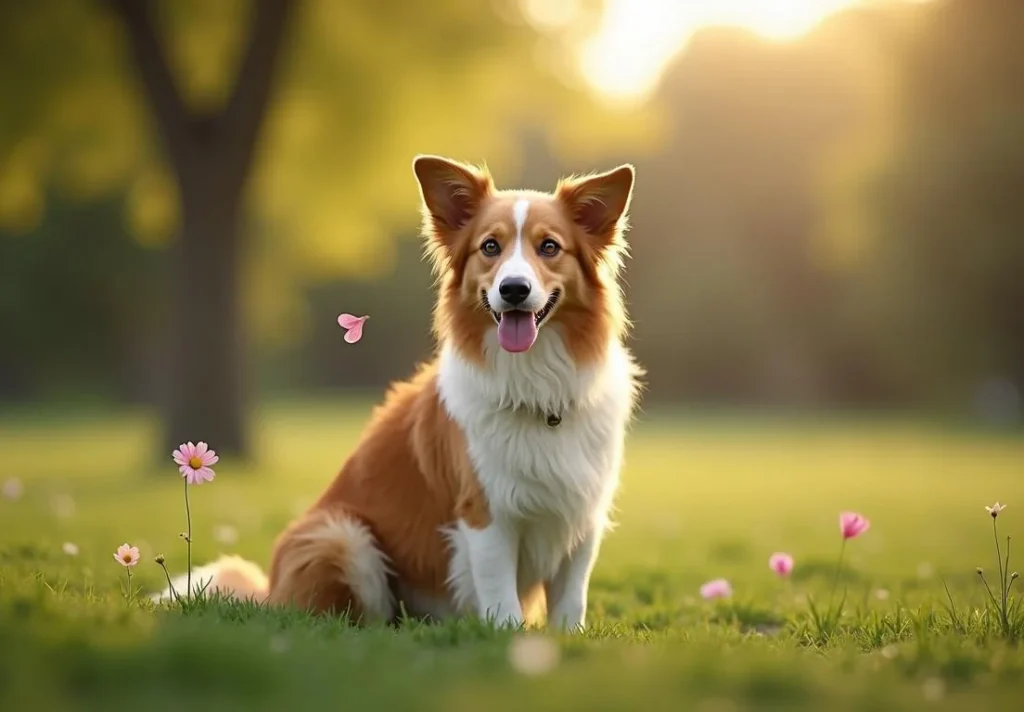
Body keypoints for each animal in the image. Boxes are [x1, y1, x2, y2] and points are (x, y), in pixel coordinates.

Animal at [153, 154, 638, 631]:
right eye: (490, 247)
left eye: (550, 247)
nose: (513, 290)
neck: (537, 384)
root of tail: (270, 591)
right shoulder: (485, 513)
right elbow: (502, 601)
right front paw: (511, 641)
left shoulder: (582, 514)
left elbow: (570, 602)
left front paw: (565, 642)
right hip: (342, 535)